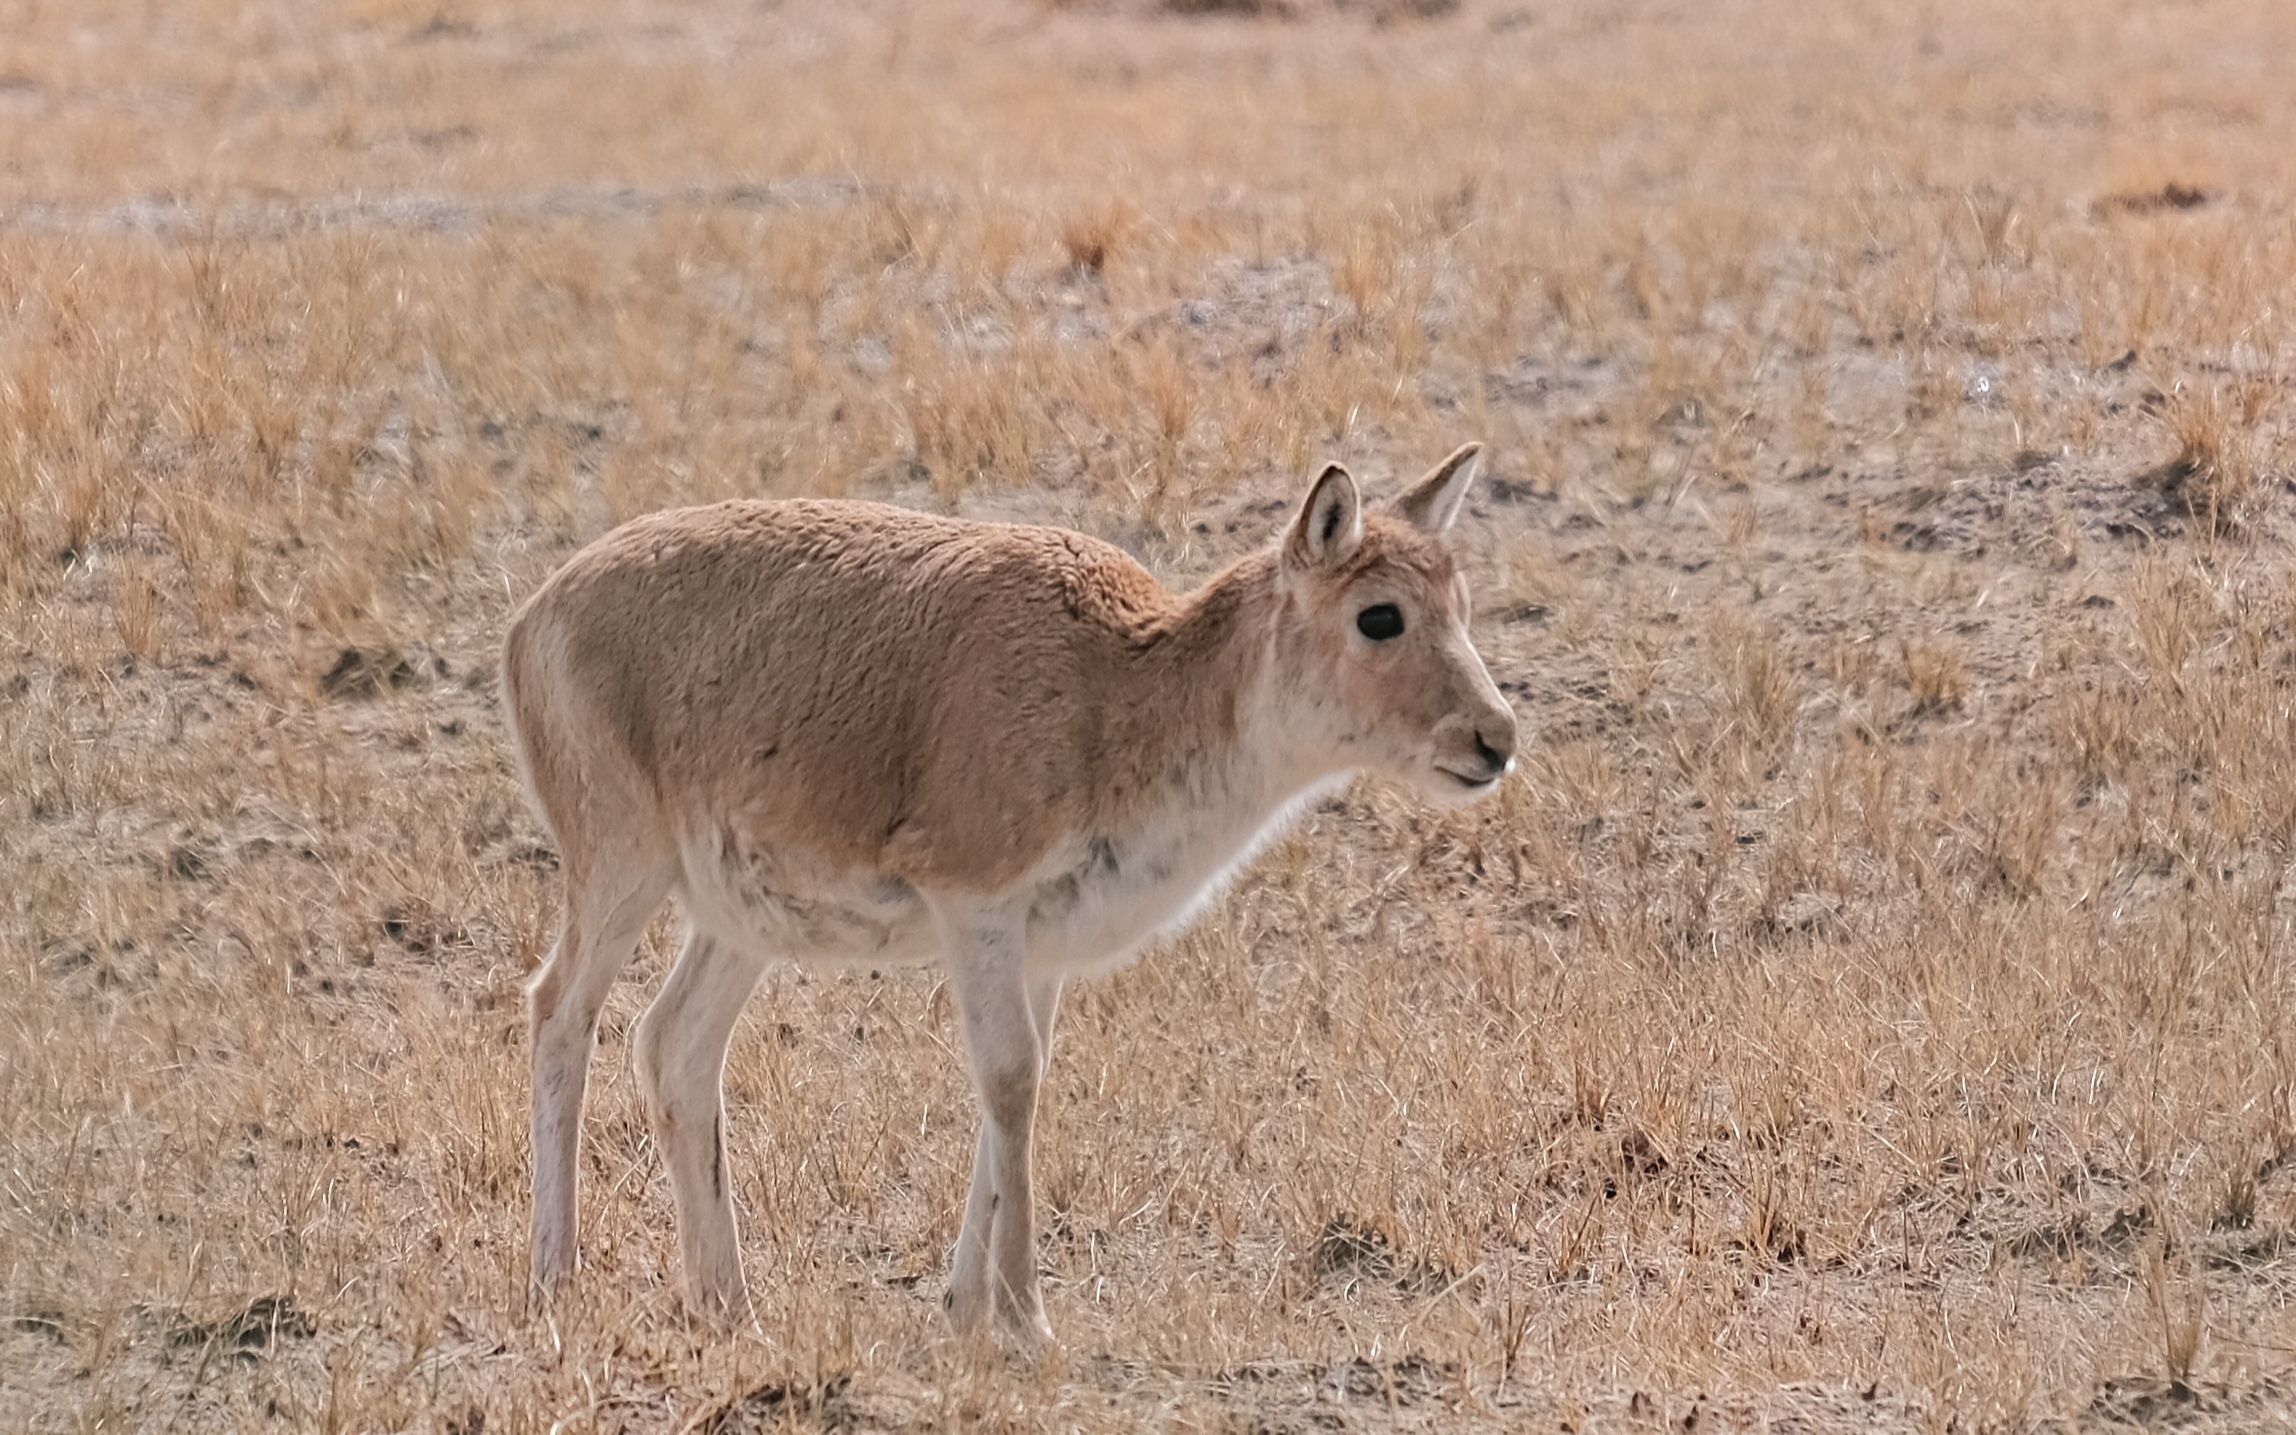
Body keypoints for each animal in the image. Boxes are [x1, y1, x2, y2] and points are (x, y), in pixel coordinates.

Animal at [500, 443, 1506, 1340]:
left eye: (1458, 602)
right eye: (1380, 615)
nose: (1496, 738)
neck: (1118, 681)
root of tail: (537, 611)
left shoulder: (1038, 946)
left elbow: (1017, 1083)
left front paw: (965, 1308)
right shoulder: (976, 907)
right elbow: (1011, 1079)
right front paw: (1028, 1318)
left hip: (738, 924)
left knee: (674, 1046)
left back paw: (730, 1306)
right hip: (622, 872)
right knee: (559, 1010)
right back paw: (556, 1277)